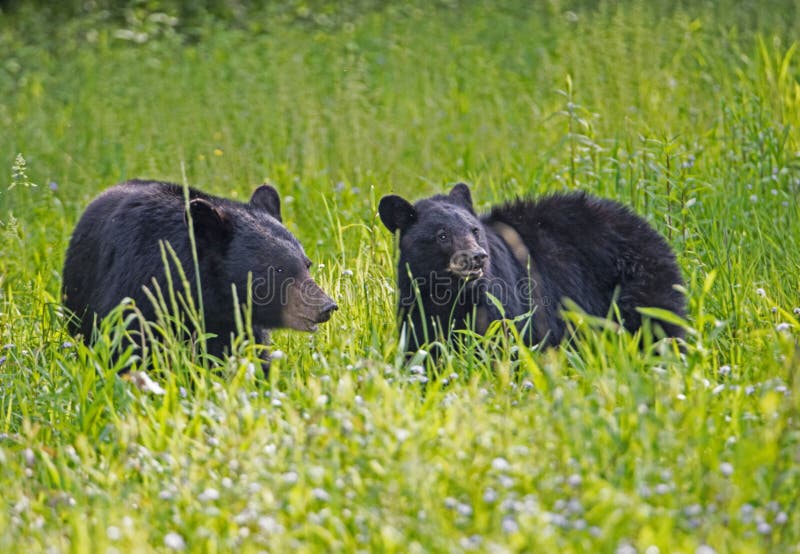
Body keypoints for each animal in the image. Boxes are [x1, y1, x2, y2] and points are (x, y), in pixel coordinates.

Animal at [61, 179, 338, 374]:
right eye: (278, 269)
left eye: (306, 264)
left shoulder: (238, 323)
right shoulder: (137, 289)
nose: (326, 306)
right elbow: (130, 347)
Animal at [378, 182, 684, 354]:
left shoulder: (501, 302)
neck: (450, 293)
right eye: (442, 235)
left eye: (474, 230)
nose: (477, 257)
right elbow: (422, 348)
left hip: (639, 284)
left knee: (659, 324)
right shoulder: (417, 306)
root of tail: (646, 226)